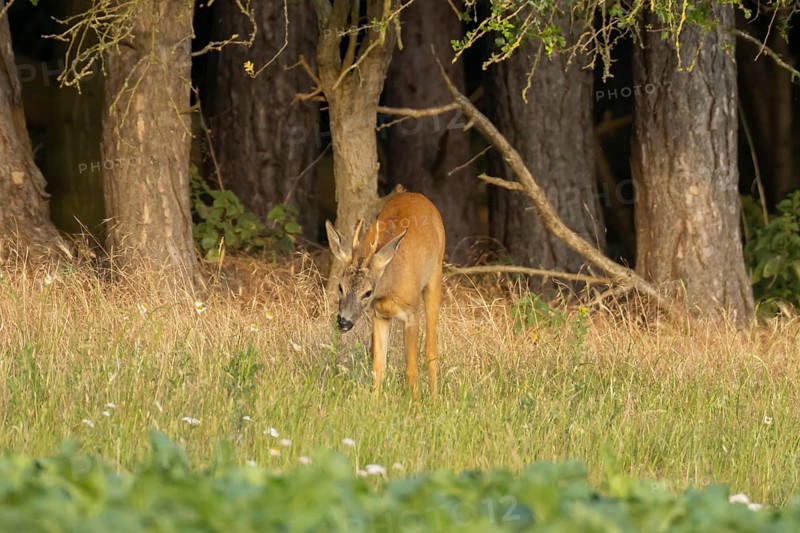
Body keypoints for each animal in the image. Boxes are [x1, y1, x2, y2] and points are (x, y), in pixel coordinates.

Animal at [325, 190, 445, 400]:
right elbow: (378, 367)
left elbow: (411, 370)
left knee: (431, 349)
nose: (344, 322)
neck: (390, 287)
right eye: (340, 287)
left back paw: (434, 400)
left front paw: (416, 405)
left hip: (435, 275)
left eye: (367, 292)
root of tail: (415, 194)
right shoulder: (379, 314)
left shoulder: (412, 313)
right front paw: (375, 404)